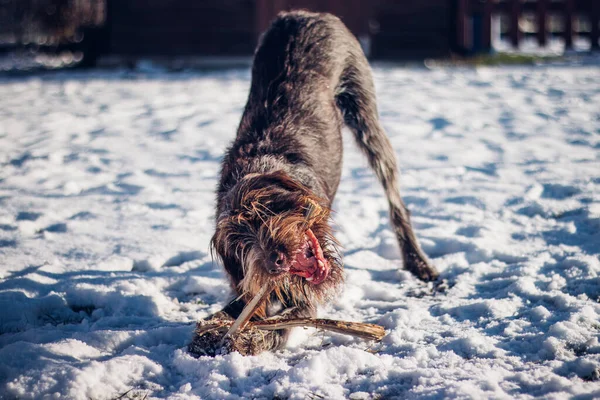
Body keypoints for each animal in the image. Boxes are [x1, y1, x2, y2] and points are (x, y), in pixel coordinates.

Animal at [190, 9, 438, 354]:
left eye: (262, 211)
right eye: (240, 243)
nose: (276, 261)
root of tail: (300, 13)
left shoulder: (303, 302)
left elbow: (277, 326)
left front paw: (245, 340)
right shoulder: (251, 290)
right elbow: (239, 310)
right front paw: (210, 332)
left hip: (365, 114)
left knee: (396, 202)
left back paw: (418, 262)